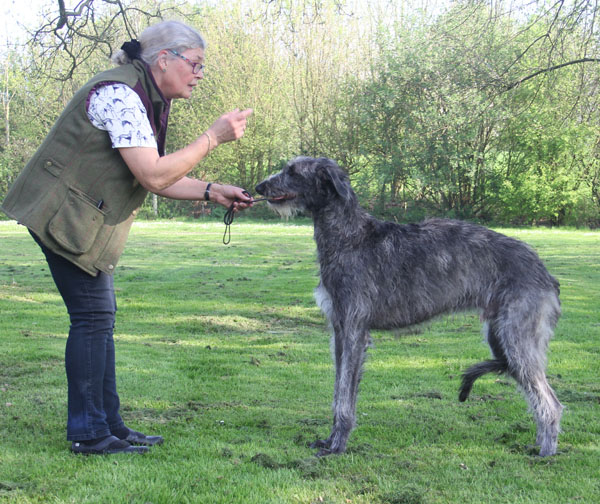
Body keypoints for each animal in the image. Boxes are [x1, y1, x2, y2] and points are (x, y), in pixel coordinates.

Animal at [255, 157, 564, 456]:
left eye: (292, 171)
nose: (259, 187)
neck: (350, 237)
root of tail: (545, 272)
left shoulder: (355, 329)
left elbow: (344, 394)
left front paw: (337, 446)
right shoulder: (340, 331)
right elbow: (339, 391)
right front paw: (330, 439)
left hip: (518, 337)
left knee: (550, 401)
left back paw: (545, 452)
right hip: (499, 335)